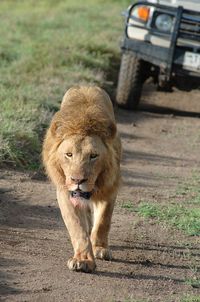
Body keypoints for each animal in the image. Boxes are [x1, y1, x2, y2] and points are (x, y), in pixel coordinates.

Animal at [42, 86, 121, 272]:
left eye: (93, 156)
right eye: (69, 154)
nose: (78, 180)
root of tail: (87, 85)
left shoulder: (110, 187)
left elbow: (103, 221)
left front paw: (100, 248)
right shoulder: (66, 192)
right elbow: (77, 227)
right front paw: (83, 260)